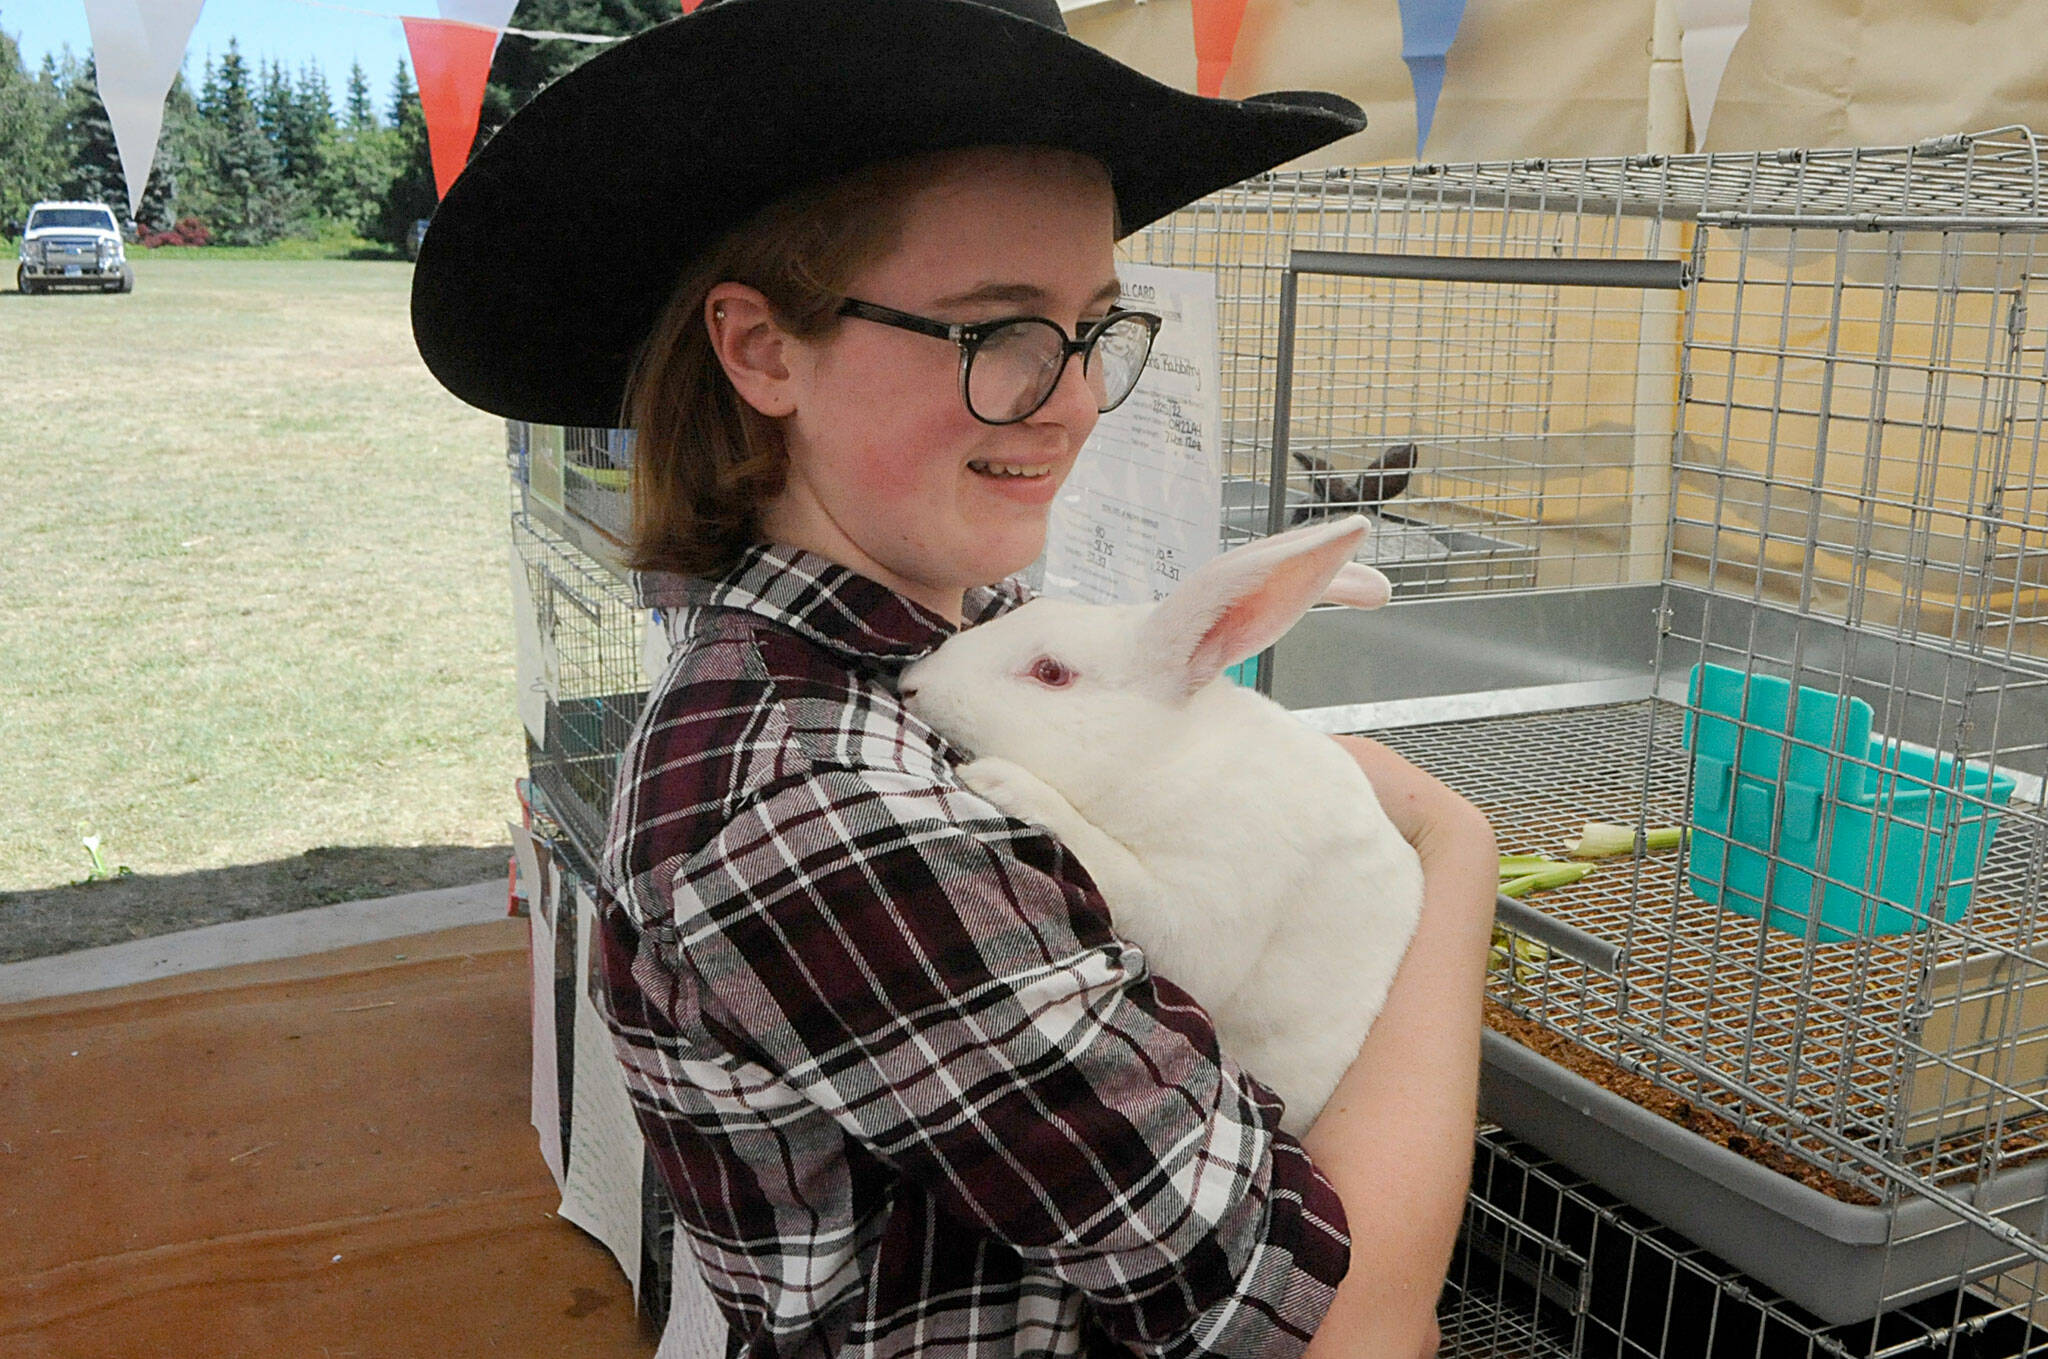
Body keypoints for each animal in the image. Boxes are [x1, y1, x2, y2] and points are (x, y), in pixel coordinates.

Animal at [905, 515, 1417, 1129]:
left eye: (1051, 672)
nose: (910, 683)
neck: (1166, 757)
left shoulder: (1209, 898)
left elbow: (1121, 875)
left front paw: (1004, 782)